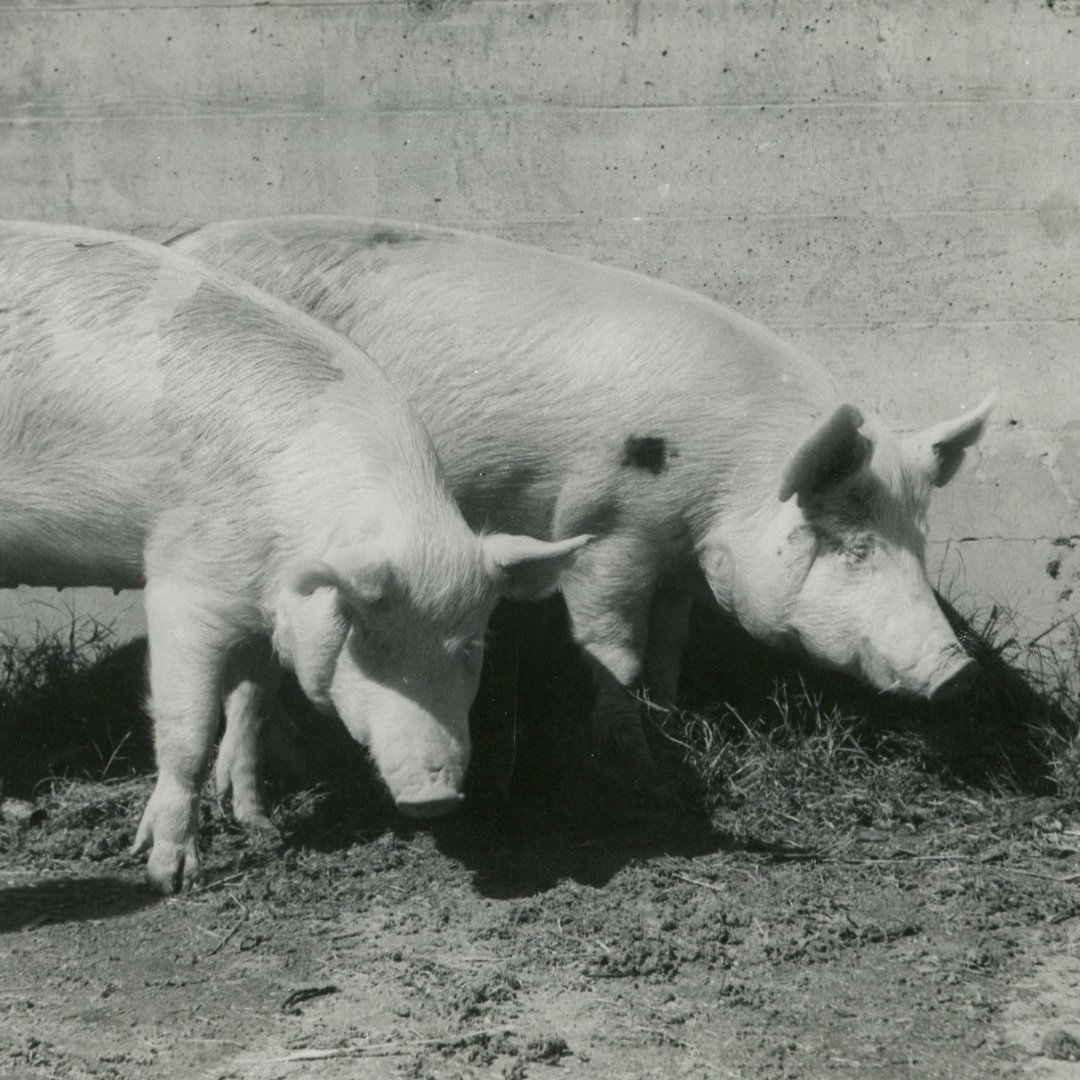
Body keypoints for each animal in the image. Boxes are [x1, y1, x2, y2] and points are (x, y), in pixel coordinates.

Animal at [0, 221, 588, 892]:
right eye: (372, 641)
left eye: (470, 647)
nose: (434, 795)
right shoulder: (182, 585)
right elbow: (188, 729)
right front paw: (168, 875)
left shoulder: (264, 606)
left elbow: (251, 703)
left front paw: (258, 823)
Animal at [168, 216, 994, 807]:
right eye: (851, 544)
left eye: (919, 541)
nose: (959, 673)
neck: (727, 482)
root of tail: (182, 239)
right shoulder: (605, 529)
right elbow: (612, 646)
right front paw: (631, 758)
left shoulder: (677, 557)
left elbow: (671, 639)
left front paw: (672, 712)